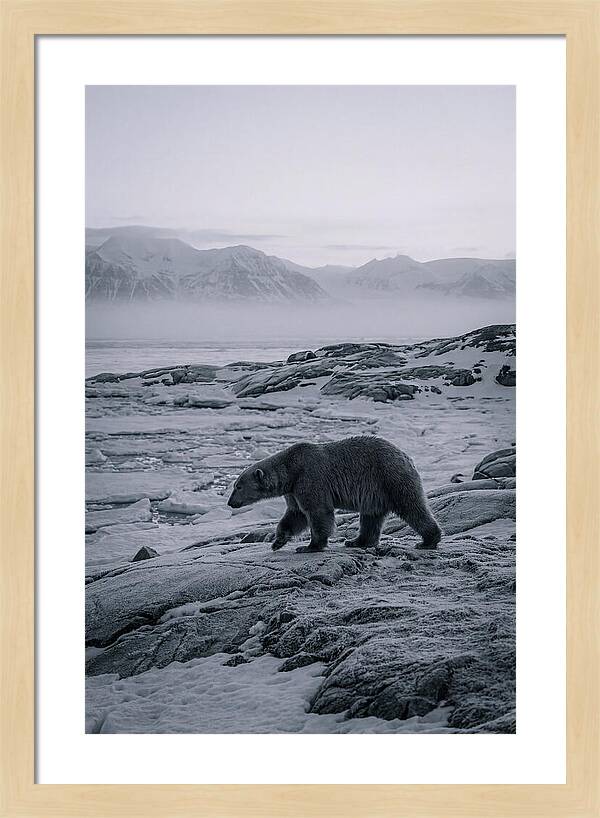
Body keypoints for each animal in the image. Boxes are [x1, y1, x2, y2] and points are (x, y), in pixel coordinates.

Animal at [227, 435, 442, 553]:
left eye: (238, 486)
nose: (230, 503)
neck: (291, 469)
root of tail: (406, 456)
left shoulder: (310, 478)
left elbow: (317, 512)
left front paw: (310, 546)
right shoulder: (294, 490)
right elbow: (295, 514)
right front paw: (277, 541)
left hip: (390, 477)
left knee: (412, 507)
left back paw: (428, 540)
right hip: (375, 492)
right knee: (371, 517)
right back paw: (356, 541)